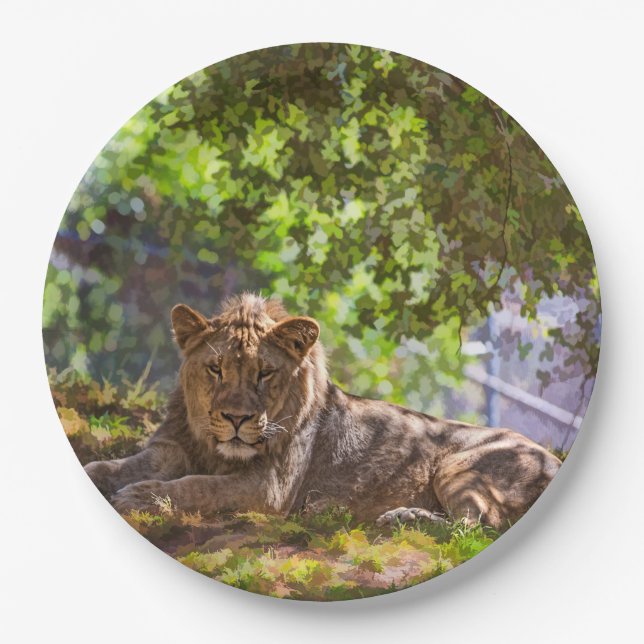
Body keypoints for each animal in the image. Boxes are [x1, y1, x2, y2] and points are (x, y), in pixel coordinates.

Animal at [84, 293, 561, 531]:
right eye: (215, 369)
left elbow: (197, 486)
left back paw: (406, 519)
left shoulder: (269, 487)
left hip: (458, 464)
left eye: (264, 373)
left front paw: (141, 497)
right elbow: (118, 465)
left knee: (480, 524)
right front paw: (101, 478)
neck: (212, 446)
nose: (237, 420)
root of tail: (554, 462)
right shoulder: (171, 446)